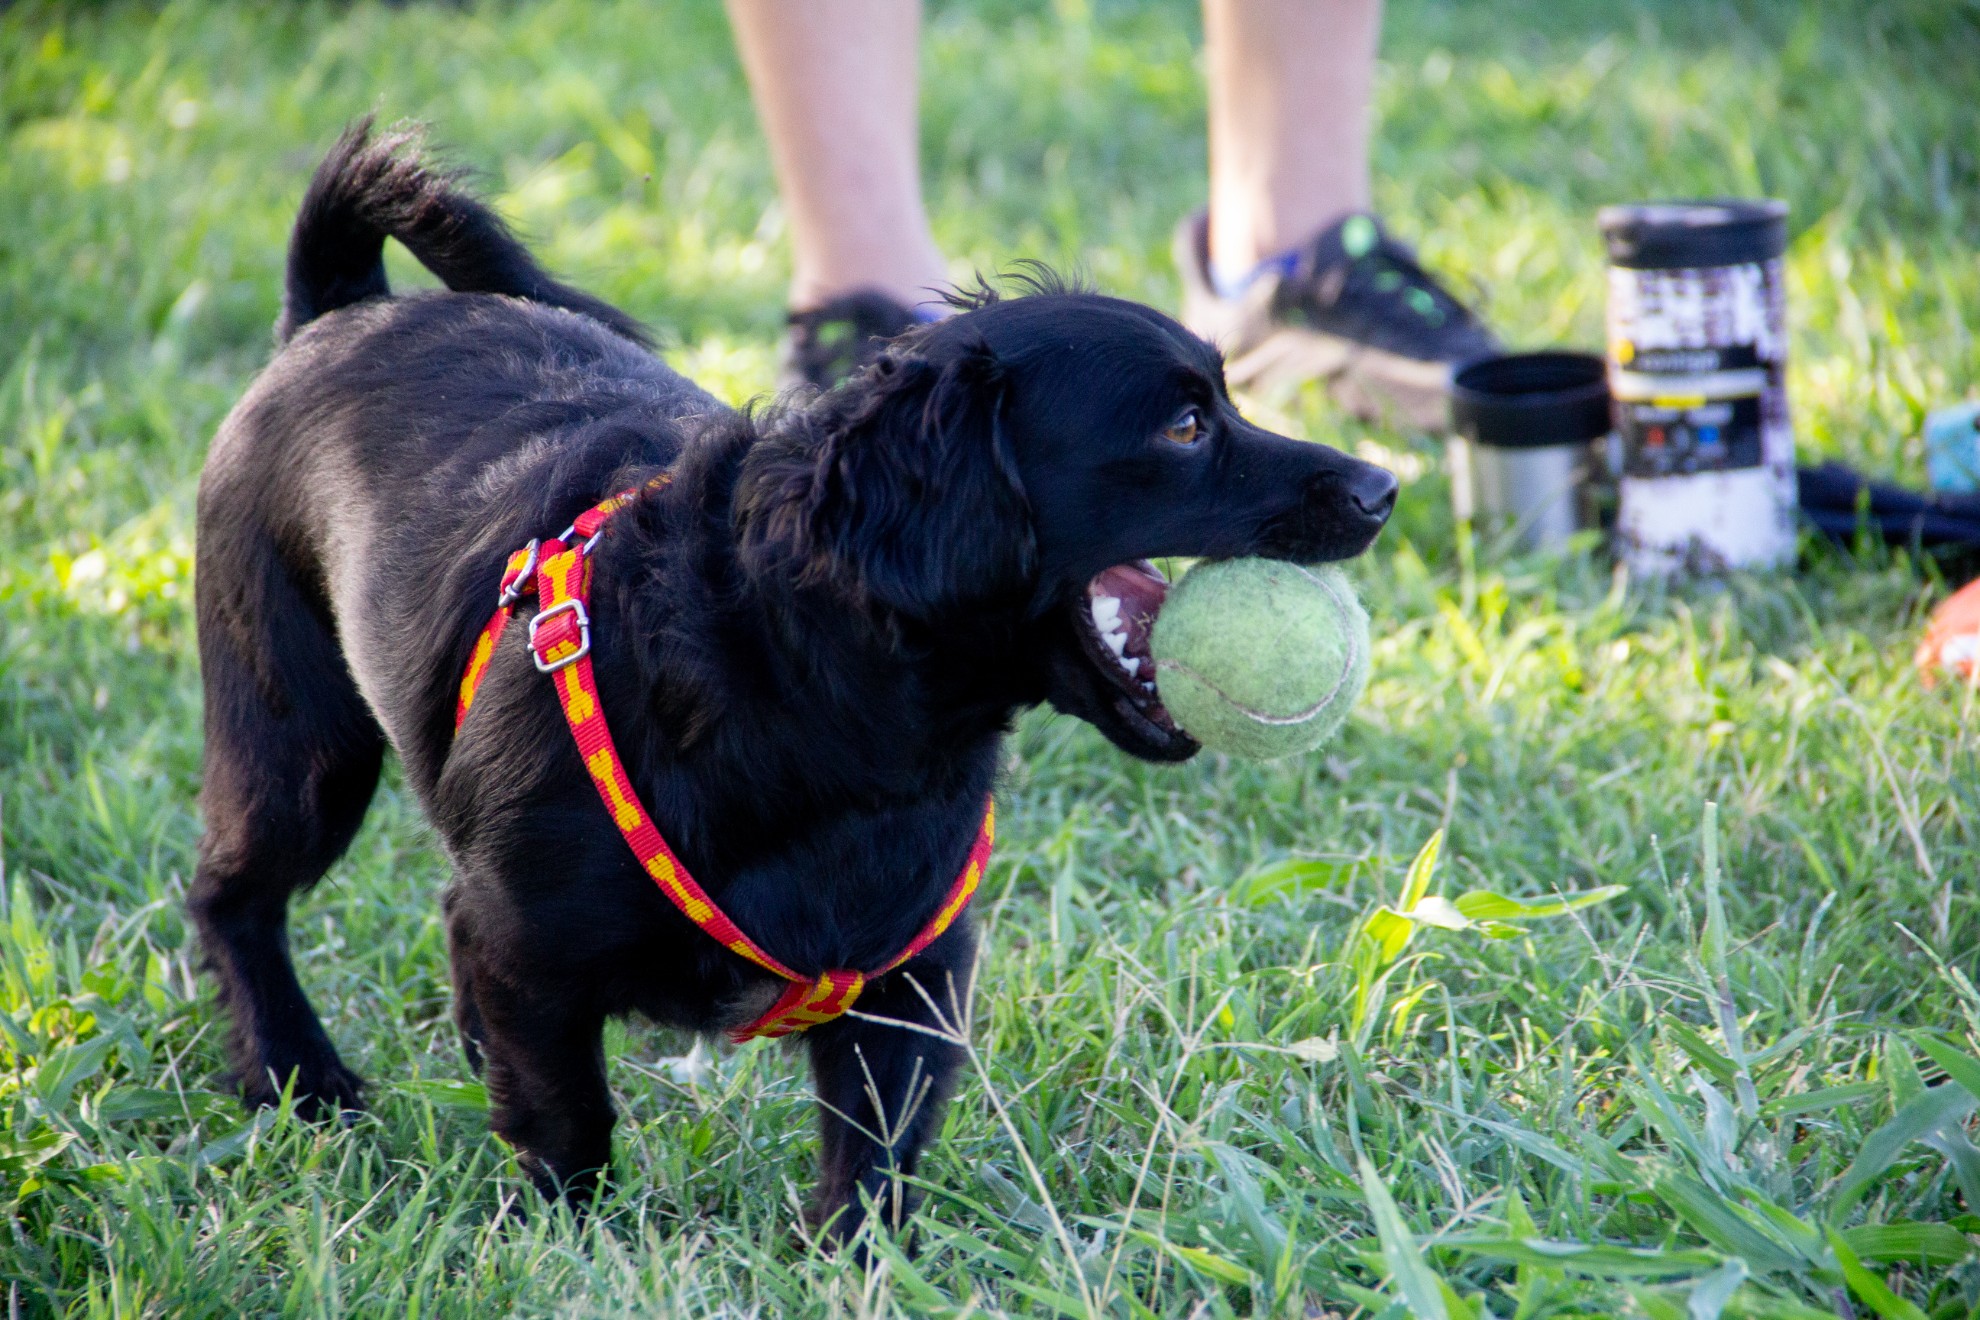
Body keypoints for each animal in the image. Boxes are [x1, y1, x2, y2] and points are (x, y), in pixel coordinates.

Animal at [189, 121, 1393, 1242]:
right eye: (1186, 426)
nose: (1384, 488)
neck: (818, 697)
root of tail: (340, 312)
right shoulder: (531, 944)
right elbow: (567, 1115)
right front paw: (574, 1235)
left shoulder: (913, 968)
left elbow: (876, 1146)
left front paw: (856, 1265)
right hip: (302, 749)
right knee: (233, 898)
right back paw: (296, 1076)